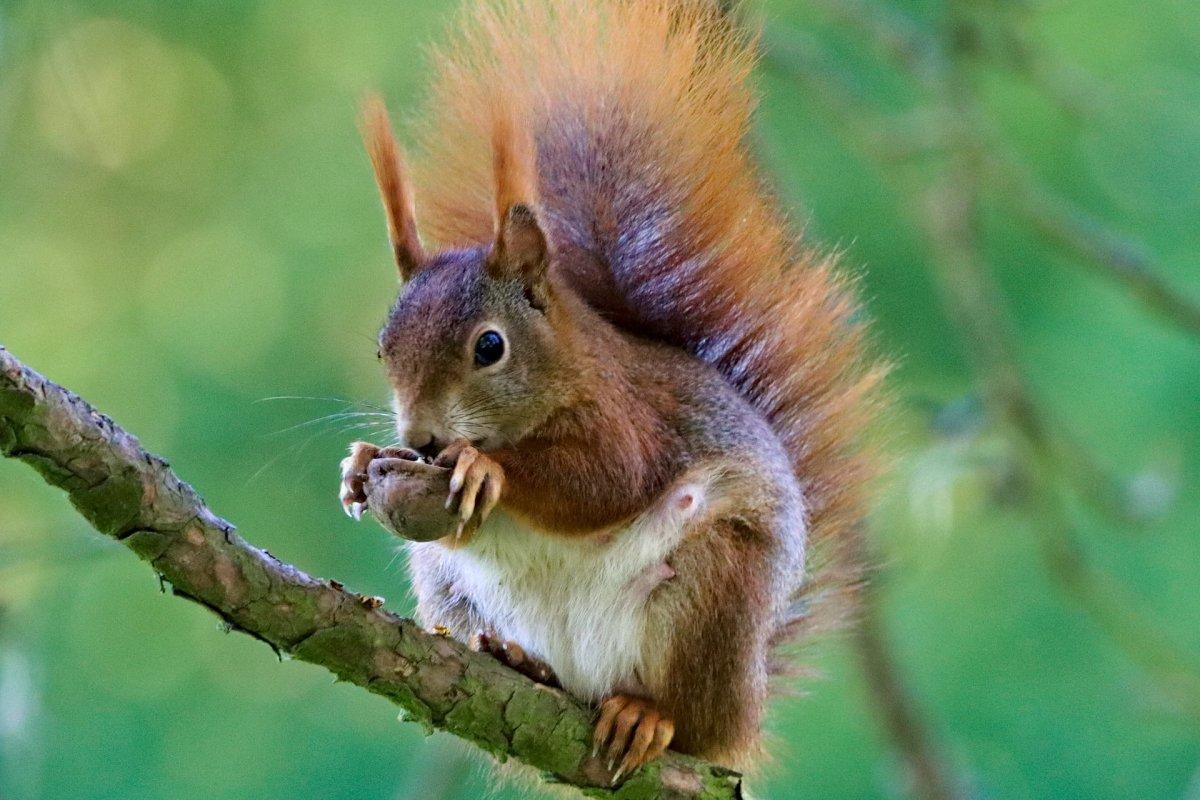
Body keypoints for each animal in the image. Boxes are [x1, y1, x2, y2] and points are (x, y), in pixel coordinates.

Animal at [336, 0, 883, 782]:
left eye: (490, 347)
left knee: (690, 721)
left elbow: (609, 479)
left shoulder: (628, 414)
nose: (421, 440)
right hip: (450, 588)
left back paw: (647, 717)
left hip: (715, 591)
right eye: (382, 349)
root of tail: (745, 712)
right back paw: (521, 661)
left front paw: (484, 468)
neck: (563, 372)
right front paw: (358, 465)